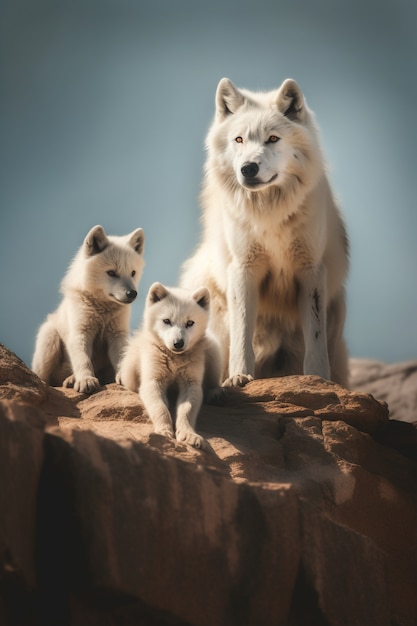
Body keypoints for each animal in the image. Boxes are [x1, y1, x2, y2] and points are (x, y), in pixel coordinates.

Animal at [181, 75, 348, 382]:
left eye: (273, 138)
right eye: (239, 139)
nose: (248, 168)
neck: (270, 214)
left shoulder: (311, 271)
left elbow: (315, 338)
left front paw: (318, 378)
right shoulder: (243, 269)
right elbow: (242, 333)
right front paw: (240, 377)